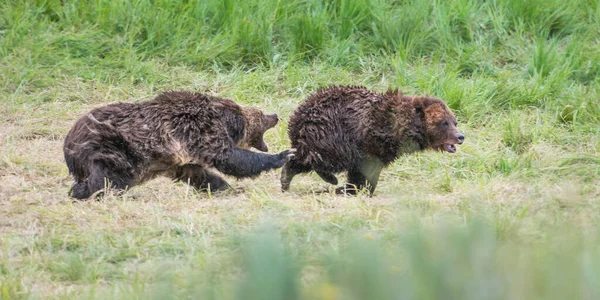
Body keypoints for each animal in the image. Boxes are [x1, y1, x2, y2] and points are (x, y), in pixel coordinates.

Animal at [63, 91, 296, 199]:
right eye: (261, 114)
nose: (276, 115)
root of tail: (69, 143)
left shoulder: (179, 160)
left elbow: (199, 174)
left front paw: (225, 188)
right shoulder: (201, 132)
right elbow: (231, 158)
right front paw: (283, 155)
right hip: (114, 148)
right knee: (106, 179)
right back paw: (85, 194)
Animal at [282, 85, 464, 196]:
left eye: (454, 121)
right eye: (444, 123)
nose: (460, 136)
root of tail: (297, 119)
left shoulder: (381, 150)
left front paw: (353, 189)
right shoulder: (368, 143)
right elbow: (365, 170)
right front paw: (352, 189)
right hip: (329, 134)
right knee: (319, 158)